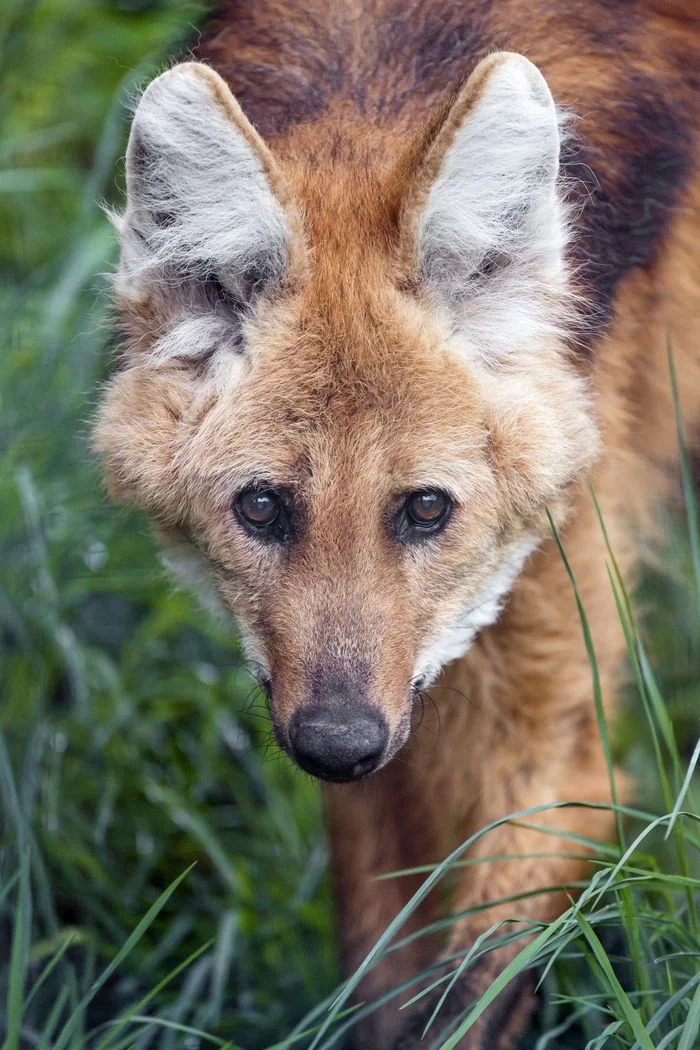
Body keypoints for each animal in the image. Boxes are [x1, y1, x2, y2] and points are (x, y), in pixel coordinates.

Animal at [96, 0, 700, 1045]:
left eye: (425, 509)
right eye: (262, 506)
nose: (338, 746)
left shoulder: (545, 730)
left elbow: (468, 990)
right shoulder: (366, 718)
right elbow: (383, 975)